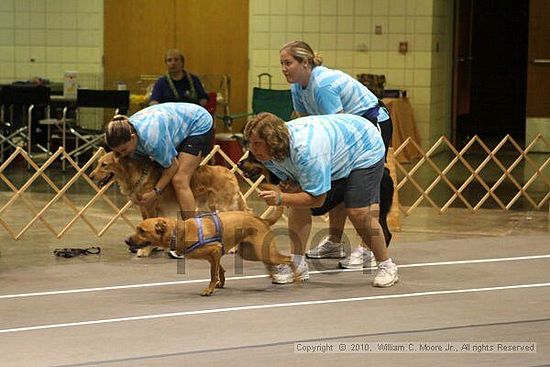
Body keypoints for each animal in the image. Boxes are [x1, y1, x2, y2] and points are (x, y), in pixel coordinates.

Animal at [91, 151, 250, 258]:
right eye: (97, 163)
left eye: (104, 165)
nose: (91, 176)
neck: (135, 175)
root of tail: (228, 171)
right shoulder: (147, 209)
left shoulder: (149, 206)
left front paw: (146, 249)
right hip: (209, 206)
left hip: (223, 206)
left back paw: (232, 248)